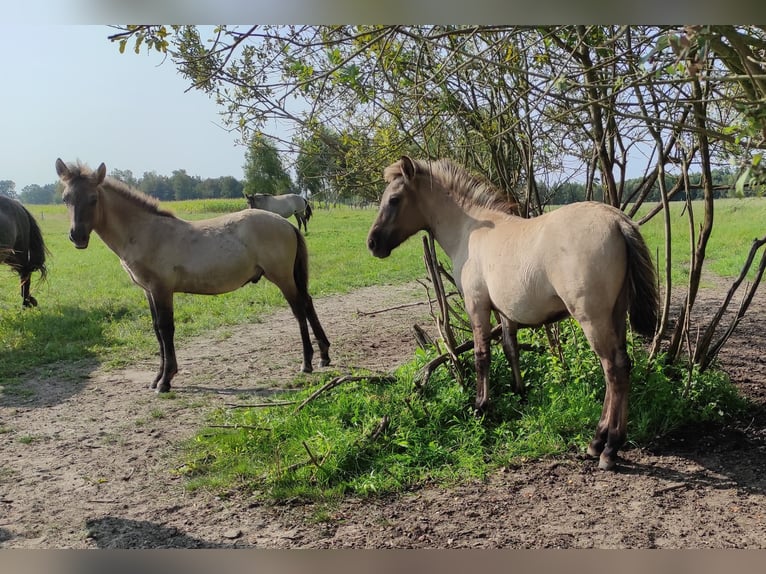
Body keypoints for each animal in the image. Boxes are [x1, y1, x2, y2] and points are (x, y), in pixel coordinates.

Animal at [54, 159, 330, 396]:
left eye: (93, 198)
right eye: (66, 198)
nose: (77, 236)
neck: (145, 232)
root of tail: (287, 225)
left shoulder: (162, 289)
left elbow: (166, 329)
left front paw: (165, 381)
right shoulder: (148, 291)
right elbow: (156, 330)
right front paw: (157, 378)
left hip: (281, 276)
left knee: (299, 309)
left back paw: (307, 362)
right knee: (308, 303)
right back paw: (324, 355)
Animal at [368, 158, 660, 472]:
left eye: (394, 200)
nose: (372, 243)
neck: (470, 229)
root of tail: (617, 220)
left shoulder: (477, 305)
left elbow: (482, 356)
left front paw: (481, 406)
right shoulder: (505, 311)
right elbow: (511, 349)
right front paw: (519, 392)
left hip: (593, 318)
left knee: (613, 370)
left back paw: (606, 447)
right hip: (616, 313)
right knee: (623, 366)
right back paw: (602, 442)